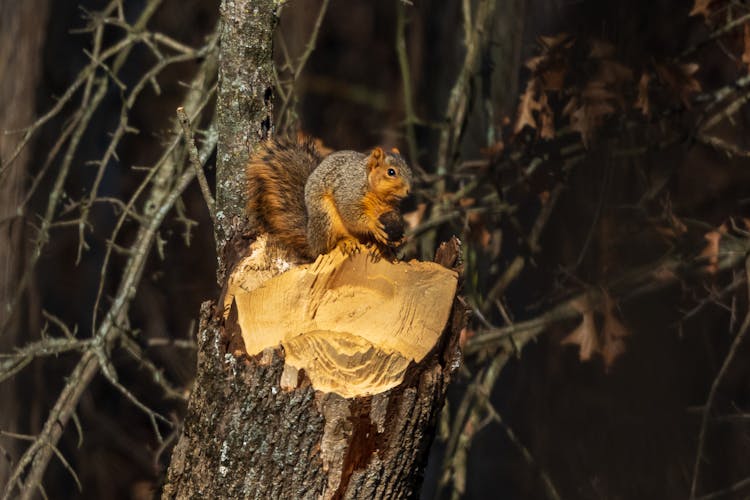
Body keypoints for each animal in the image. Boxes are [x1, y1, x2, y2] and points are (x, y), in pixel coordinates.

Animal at [247, 138, 414, 262]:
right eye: (391, 172)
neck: (379, 196)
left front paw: (399, 240)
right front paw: (373, 225)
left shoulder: (390, 209)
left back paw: (378, 247)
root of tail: (312, 241)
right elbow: (351, 214)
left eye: (410, 171)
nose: (408, 191)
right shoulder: (348, 192)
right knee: (326, 248)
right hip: (325, 217)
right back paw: (345, 242)